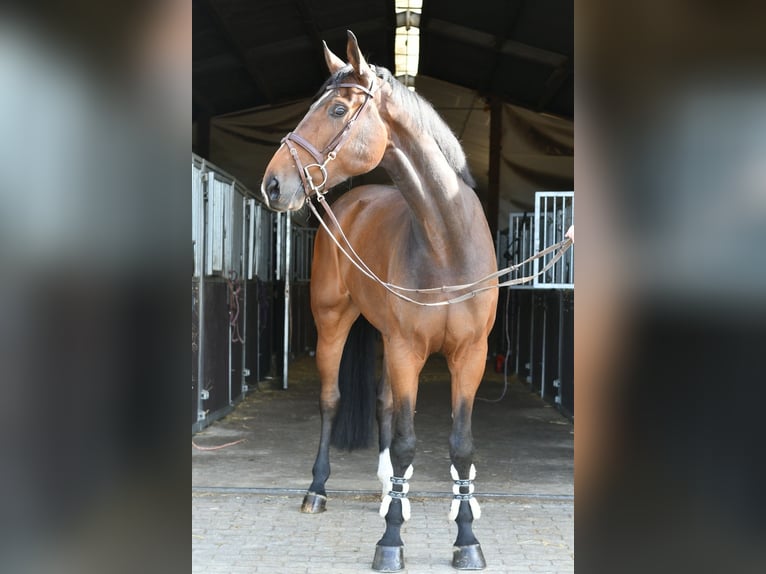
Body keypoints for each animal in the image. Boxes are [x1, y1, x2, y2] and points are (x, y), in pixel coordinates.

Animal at [260, 31, 498, 571]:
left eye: (337, 108)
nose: (273, 184)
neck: (446, 245)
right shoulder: (407, 350)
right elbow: (408, 441)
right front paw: (390, 542)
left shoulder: (469, 355)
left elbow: (462, 446)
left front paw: (466, 539)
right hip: (334, 324)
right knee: (332, 401)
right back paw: (318, 490)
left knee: (386, 407)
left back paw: (397, 497)